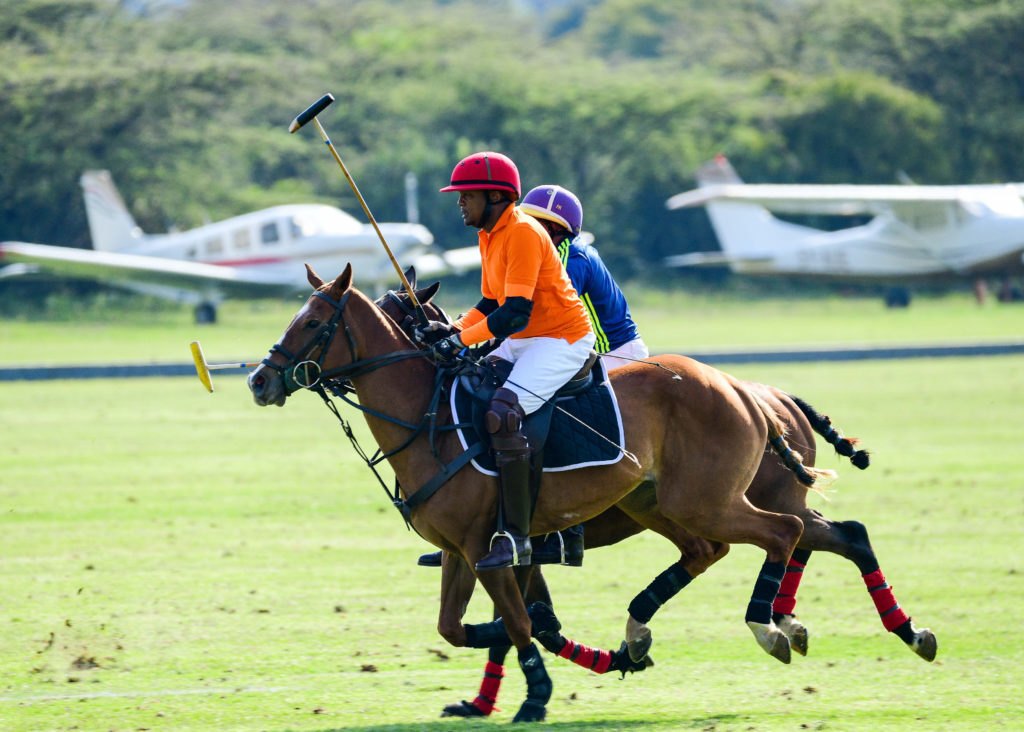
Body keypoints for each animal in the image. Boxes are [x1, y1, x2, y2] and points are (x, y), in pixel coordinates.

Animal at [247, 262, 831, 720]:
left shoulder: (492, 548)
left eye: (314, 322)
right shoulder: (463, 549)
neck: (428, 417)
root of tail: (746, 391)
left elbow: (520, 622)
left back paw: (771, 627)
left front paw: (536, 695)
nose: (259, 380)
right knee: (713, 549)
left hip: (705, 501)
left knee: (786, 531)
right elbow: (461, 627)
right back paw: (639, 635)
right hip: (657, 501)